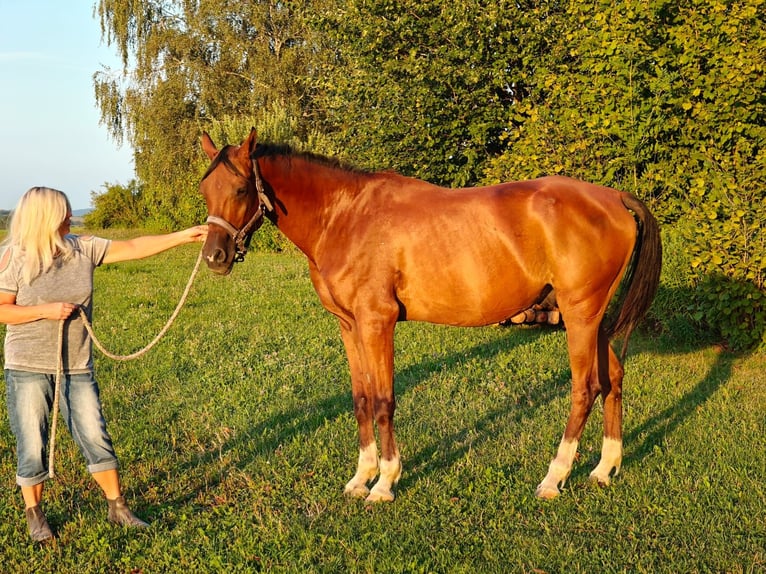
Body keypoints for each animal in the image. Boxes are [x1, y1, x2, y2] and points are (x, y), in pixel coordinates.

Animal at [201, 128, 664, 502]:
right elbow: (361, 399)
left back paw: (555, 477)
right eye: (205, 190)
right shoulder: (349, 326)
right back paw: (604, 468)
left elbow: (383, 401)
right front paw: (361, 477)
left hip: (580, 316)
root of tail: (614, 198)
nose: (213, 257)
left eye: (241, 189)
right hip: (593, 319)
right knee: (613, 379)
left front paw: (385, 483)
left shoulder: (377, 322)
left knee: (585, 388)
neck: (345, 216)